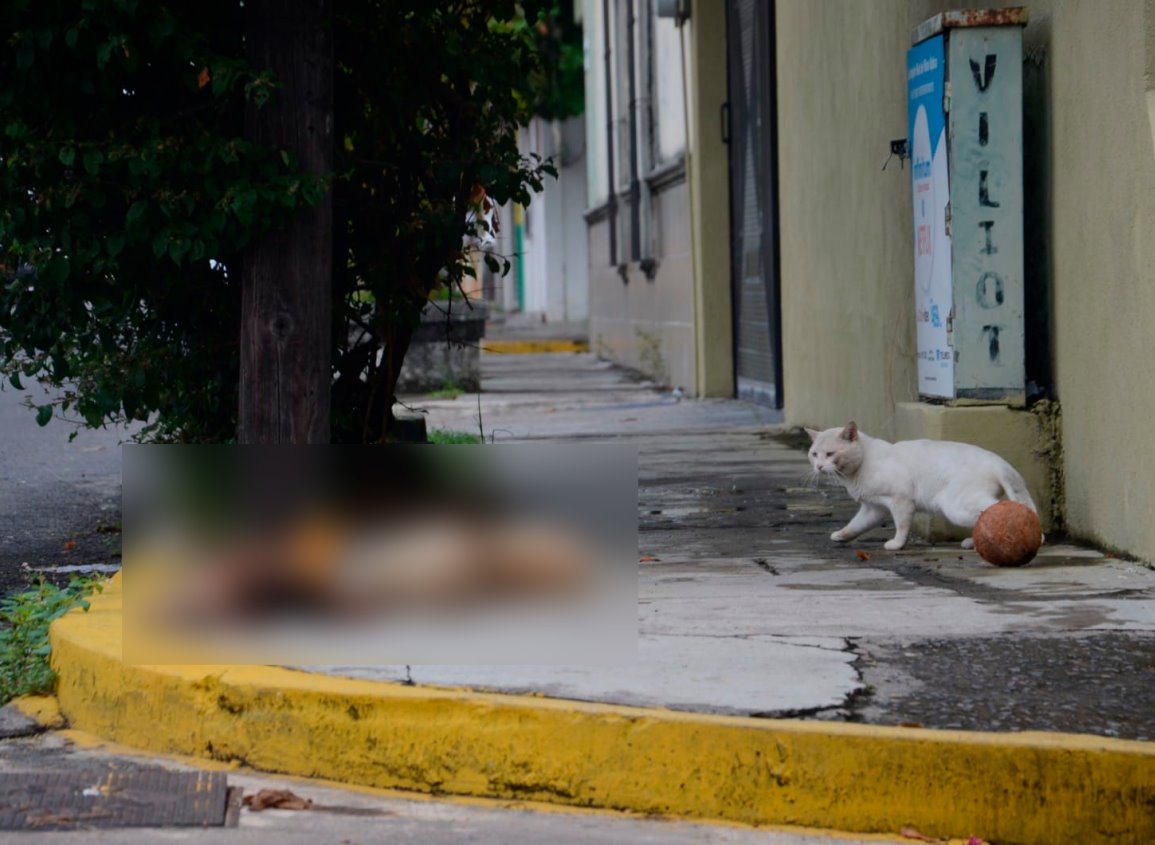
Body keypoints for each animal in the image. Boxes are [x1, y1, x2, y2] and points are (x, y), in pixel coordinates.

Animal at [808, 420, 1044, 551]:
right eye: (814, 454)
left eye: (830, 454)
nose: (818, 466)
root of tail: (997, 460)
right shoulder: (873, 508)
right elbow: (855, 525)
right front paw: (841, 535)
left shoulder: (901, 500)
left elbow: (902, 526)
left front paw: (897, 544)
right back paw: (974, 542)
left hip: (956, 505)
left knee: (998, 509)